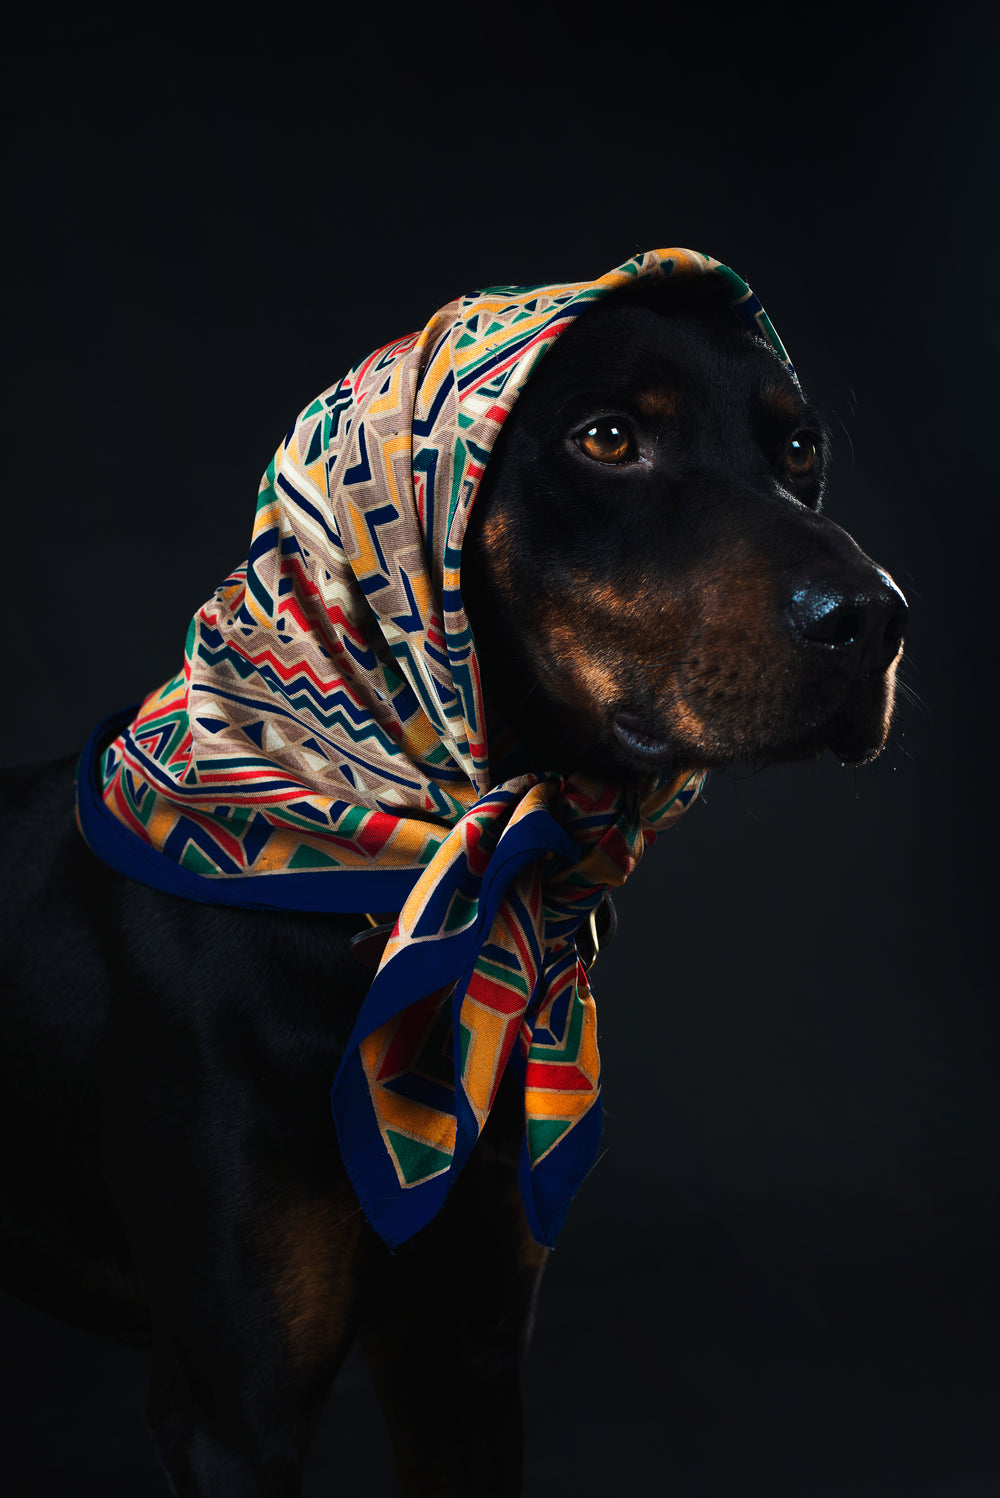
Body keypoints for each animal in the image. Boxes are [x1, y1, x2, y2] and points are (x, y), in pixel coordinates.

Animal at [0, 263, 904, 1492]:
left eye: (800, 447)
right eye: (606, 437)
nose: (877, 620)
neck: (372, 880)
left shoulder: (463, 1348)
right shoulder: (234, 1405)